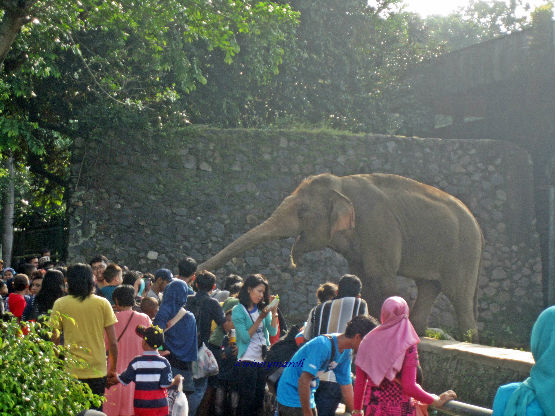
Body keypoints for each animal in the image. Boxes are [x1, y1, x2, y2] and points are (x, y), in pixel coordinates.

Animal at [199, 173, 483, 340]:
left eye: (303, 211)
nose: (200, 270)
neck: (342, 185)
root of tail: (477, 224)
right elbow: (361, 275)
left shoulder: (378, 226)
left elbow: (380, 276)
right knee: (429, 287)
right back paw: (421, 331)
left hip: (465, 251)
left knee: (460, 297)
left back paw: (469, 339)